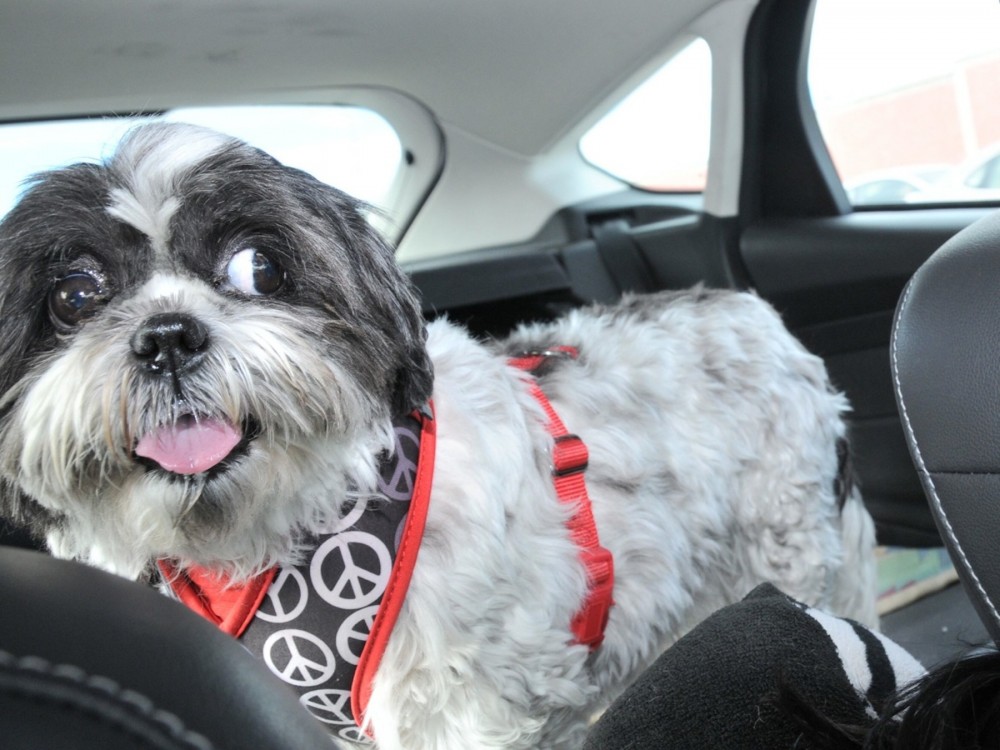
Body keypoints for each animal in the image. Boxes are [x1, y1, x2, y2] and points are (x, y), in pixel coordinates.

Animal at [0, 125, 876, 750]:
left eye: (260, 268)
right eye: (74, 295)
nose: (167, 338)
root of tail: (754, 313)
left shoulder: (462, 705)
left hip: (791, 551)